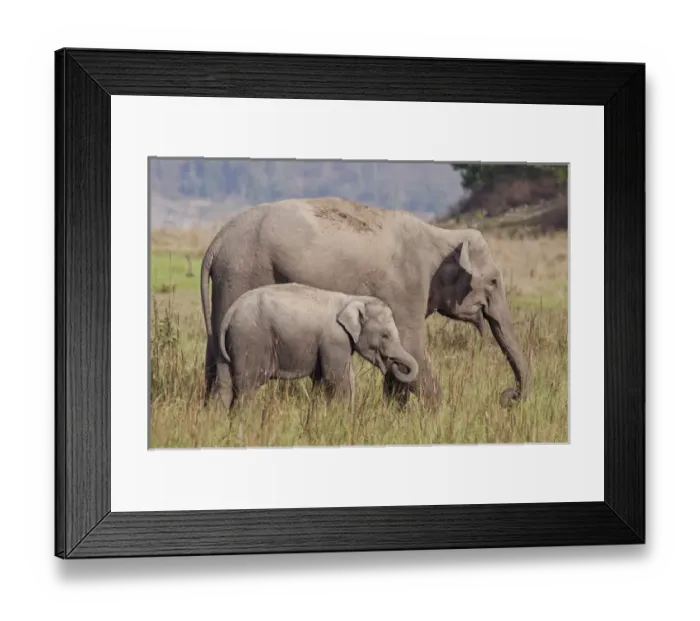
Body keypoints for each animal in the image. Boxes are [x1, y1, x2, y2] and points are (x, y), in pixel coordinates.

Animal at [216, 282, 419, 408]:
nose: (394, 364)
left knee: (224, 384)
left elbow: (327, 379)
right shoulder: (335, 339)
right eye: (385, 335)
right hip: (250, 340)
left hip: (229, 345)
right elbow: (338, 378)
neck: (352, 299)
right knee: (247, 387)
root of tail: (230, 312)